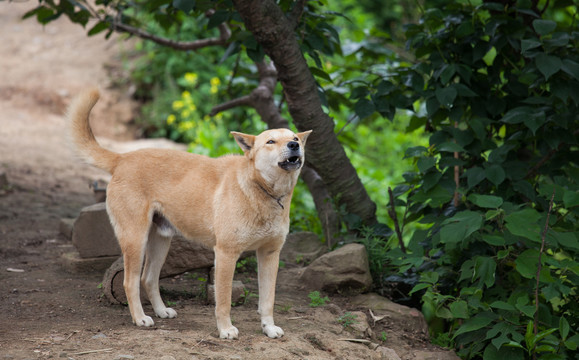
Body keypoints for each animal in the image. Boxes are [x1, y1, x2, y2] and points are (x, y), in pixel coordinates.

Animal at [67, 88, 312, 338]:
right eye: (271, 141)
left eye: (294, 137)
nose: (294, 145)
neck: (263, 191)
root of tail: (122, 158)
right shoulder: (226, 254)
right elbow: (224, 300)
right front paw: (226, 329)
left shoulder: (269, 254)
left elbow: (267, 300)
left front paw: (269, 327)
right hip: (136, 239)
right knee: (130, 281)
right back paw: (140, 318)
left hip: (160, 241)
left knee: (148, 278)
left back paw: (161, 311)